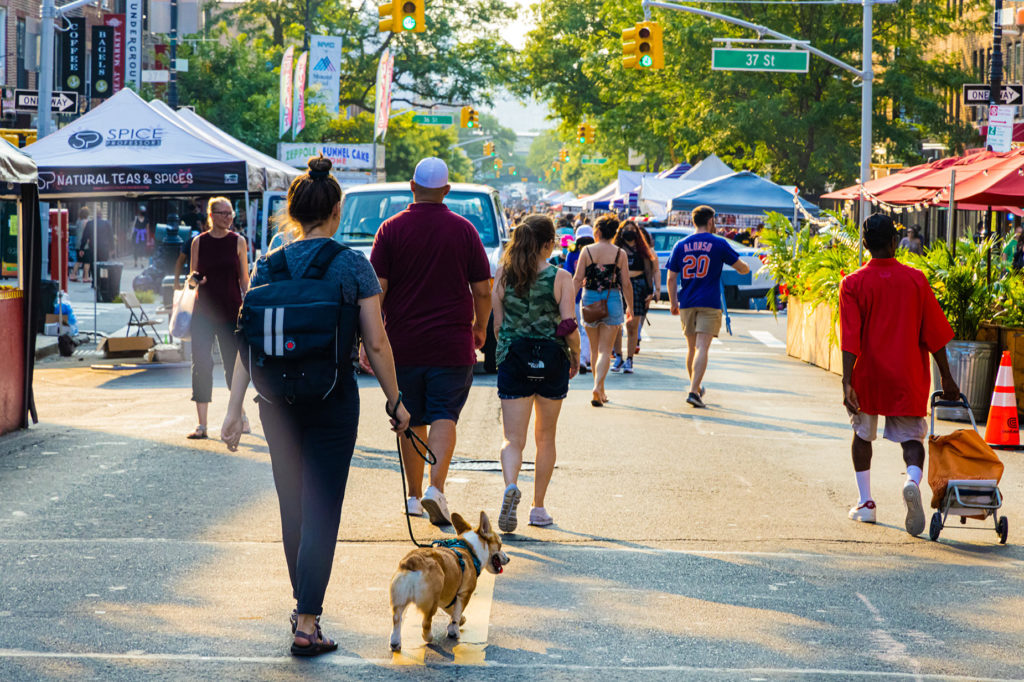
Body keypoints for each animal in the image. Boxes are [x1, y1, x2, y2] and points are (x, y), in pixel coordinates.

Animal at [387, 509, 507, 647]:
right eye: (500, 545)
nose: (508, 558)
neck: (470, 549)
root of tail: (413, 562)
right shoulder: (464, 594)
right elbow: (456, 615)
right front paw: (454, 631)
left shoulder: (446, 598)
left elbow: (452, 611)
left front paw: (461, 620)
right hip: (431, 602)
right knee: (426, 623)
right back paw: (429, 638)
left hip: (399, 600)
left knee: (397, 619)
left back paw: (395, 642)